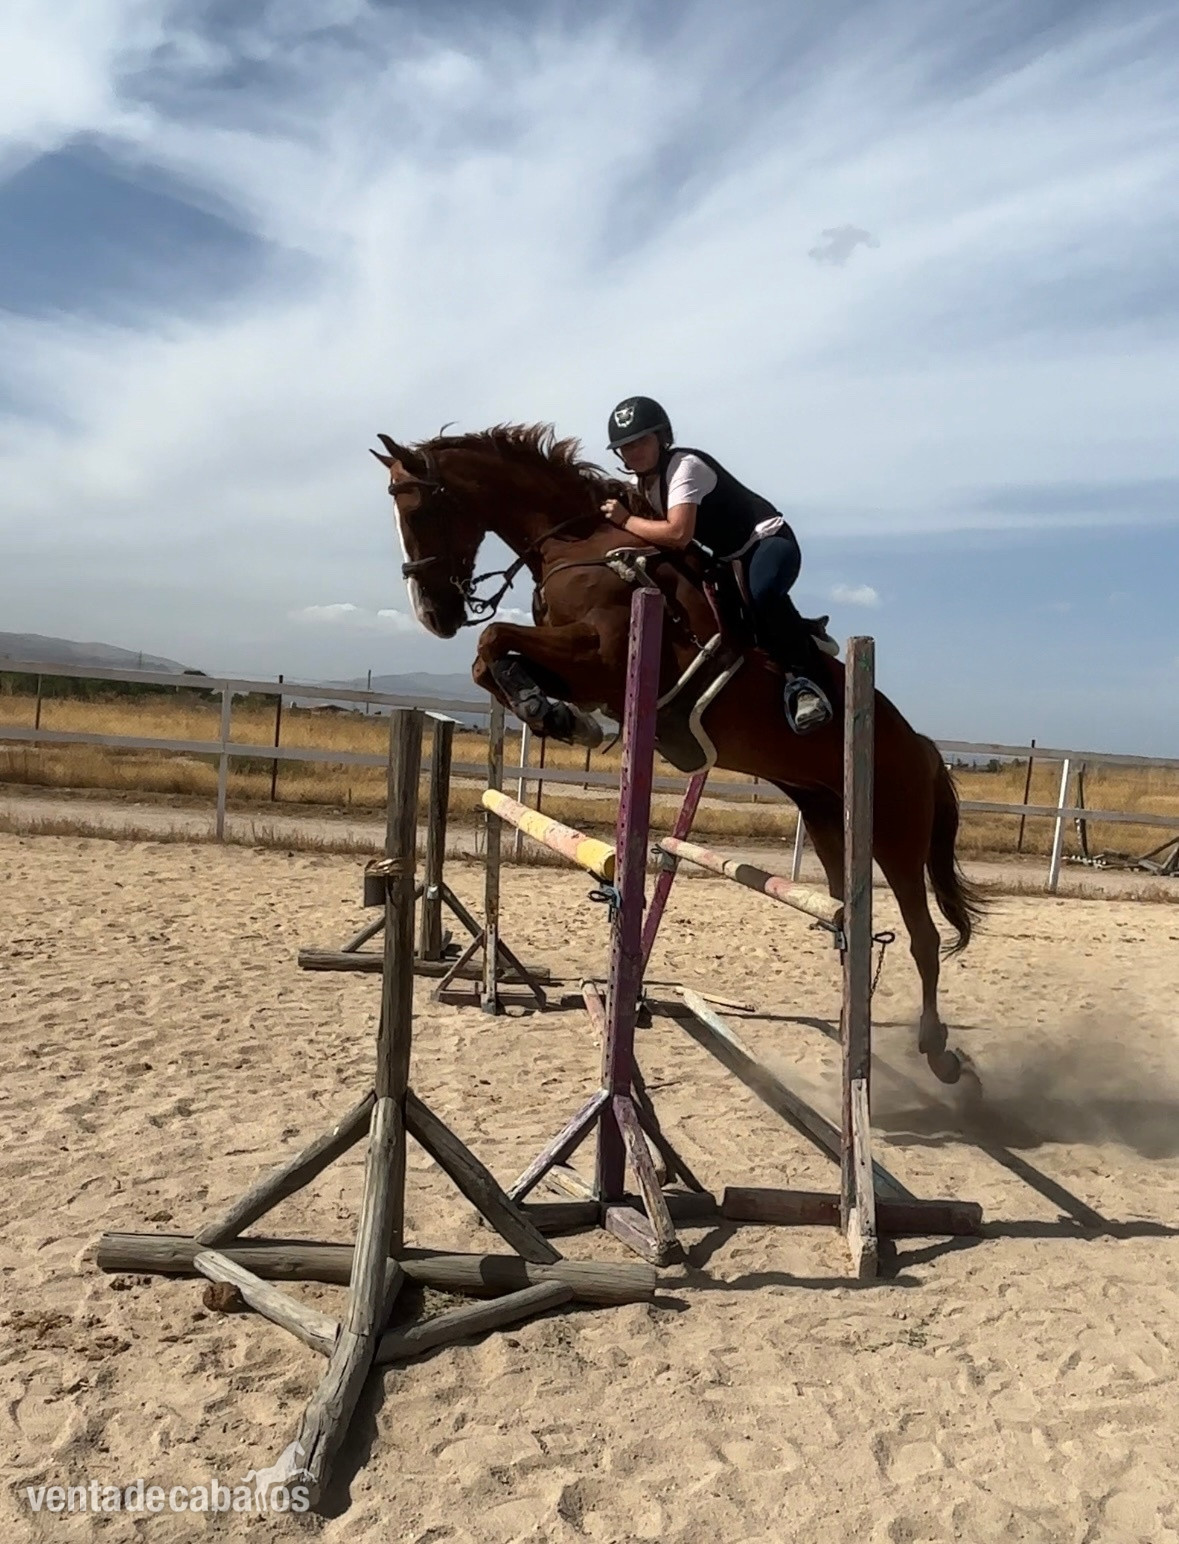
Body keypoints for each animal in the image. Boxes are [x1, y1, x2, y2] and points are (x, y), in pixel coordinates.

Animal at [371, 423, 984, 1083]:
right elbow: (490, 659)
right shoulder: (583, 669)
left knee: (922, 937)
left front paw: (560, 718)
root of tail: (922, 746)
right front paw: (554, 714)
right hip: (828, 821)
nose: (433, 616)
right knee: (847, 922)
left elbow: (491, 639)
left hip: (895, 834)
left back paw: (937, 1052)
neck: (579, 542)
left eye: (418, 507)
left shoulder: (605, 658)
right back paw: (853, 1034)